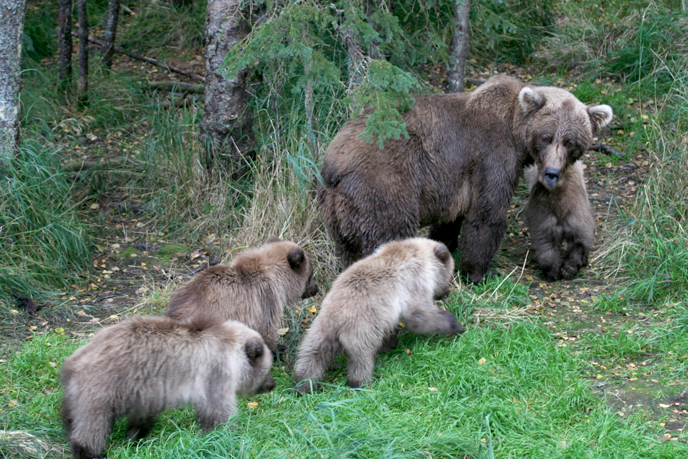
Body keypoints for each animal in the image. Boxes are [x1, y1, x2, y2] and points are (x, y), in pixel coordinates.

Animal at [318, 74, 612, 284]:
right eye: (547, 137)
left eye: (571, 142)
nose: (551, 172)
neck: (516, 132)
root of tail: (333, 163)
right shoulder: (491, 155)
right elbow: (487, 214)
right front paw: (479, 272)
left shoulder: (455, 179)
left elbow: (452, 217)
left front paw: (445, 246)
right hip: (383, 186)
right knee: (390, 233)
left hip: (338, 212)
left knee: (349, 250)